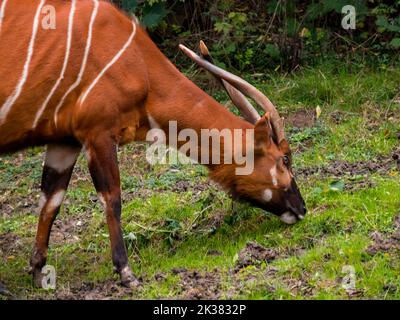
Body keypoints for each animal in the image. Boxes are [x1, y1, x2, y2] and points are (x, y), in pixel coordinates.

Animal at [0, 0, 306, 288]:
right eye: (285, 159)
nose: (301, 209)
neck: (141, 66)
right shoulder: (98, 134)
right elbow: (112, 199)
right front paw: (126, 273)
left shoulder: (65, 141)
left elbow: (50, 201)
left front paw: (38, 272)